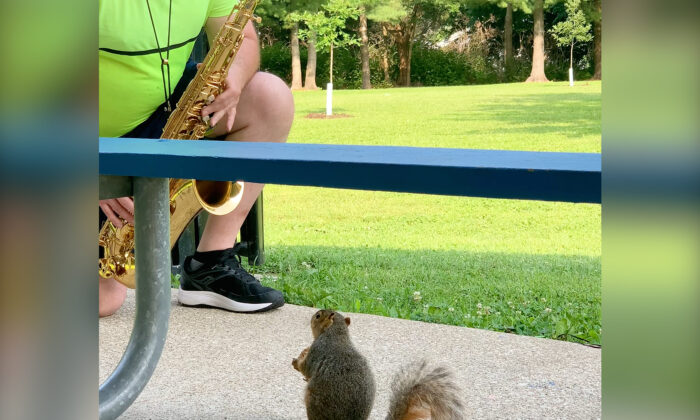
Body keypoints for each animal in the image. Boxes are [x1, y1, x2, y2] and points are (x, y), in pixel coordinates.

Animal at [292, 309, 465, 420]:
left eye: (318, 316)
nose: (311, 317)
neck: (337, 333)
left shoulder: (318, 349)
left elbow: (306, 368)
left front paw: (298, 360)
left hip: (314, 402)